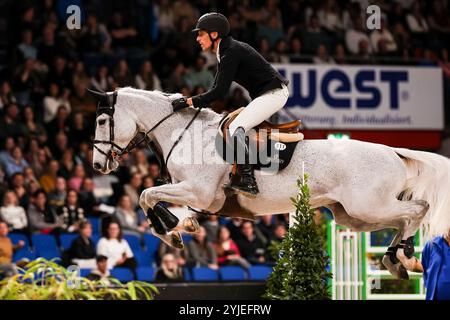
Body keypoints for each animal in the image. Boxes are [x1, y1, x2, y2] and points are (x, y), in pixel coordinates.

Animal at [90, 87, 450, 278]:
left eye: (102, 120)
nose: (97, 164)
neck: (184, 132)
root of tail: (393, 150)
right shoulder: (192, 194)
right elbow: (156, 200)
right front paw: (179, 229)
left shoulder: (200, 192)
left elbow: (146, 195)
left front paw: (170, 231)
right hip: (353, 216)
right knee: (402, 218)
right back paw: (397, 259)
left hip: (369, 206)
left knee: (417, 209)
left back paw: (404, 257)